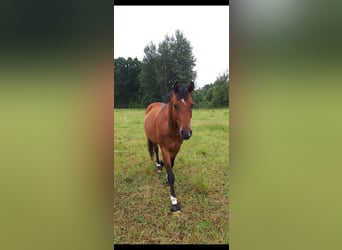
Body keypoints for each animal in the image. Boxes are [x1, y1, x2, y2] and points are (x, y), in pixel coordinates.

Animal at [144, 80, 194, 213]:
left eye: (192, 105)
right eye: (175, 105)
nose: (186, 133)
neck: (171, 127)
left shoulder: (176, 148)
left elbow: (171, 164)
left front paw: (166, 178)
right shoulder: (165, 149)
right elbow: (171, 175)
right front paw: (174, 202)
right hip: (153, 140)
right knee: (156, 151)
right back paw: (158, 165)